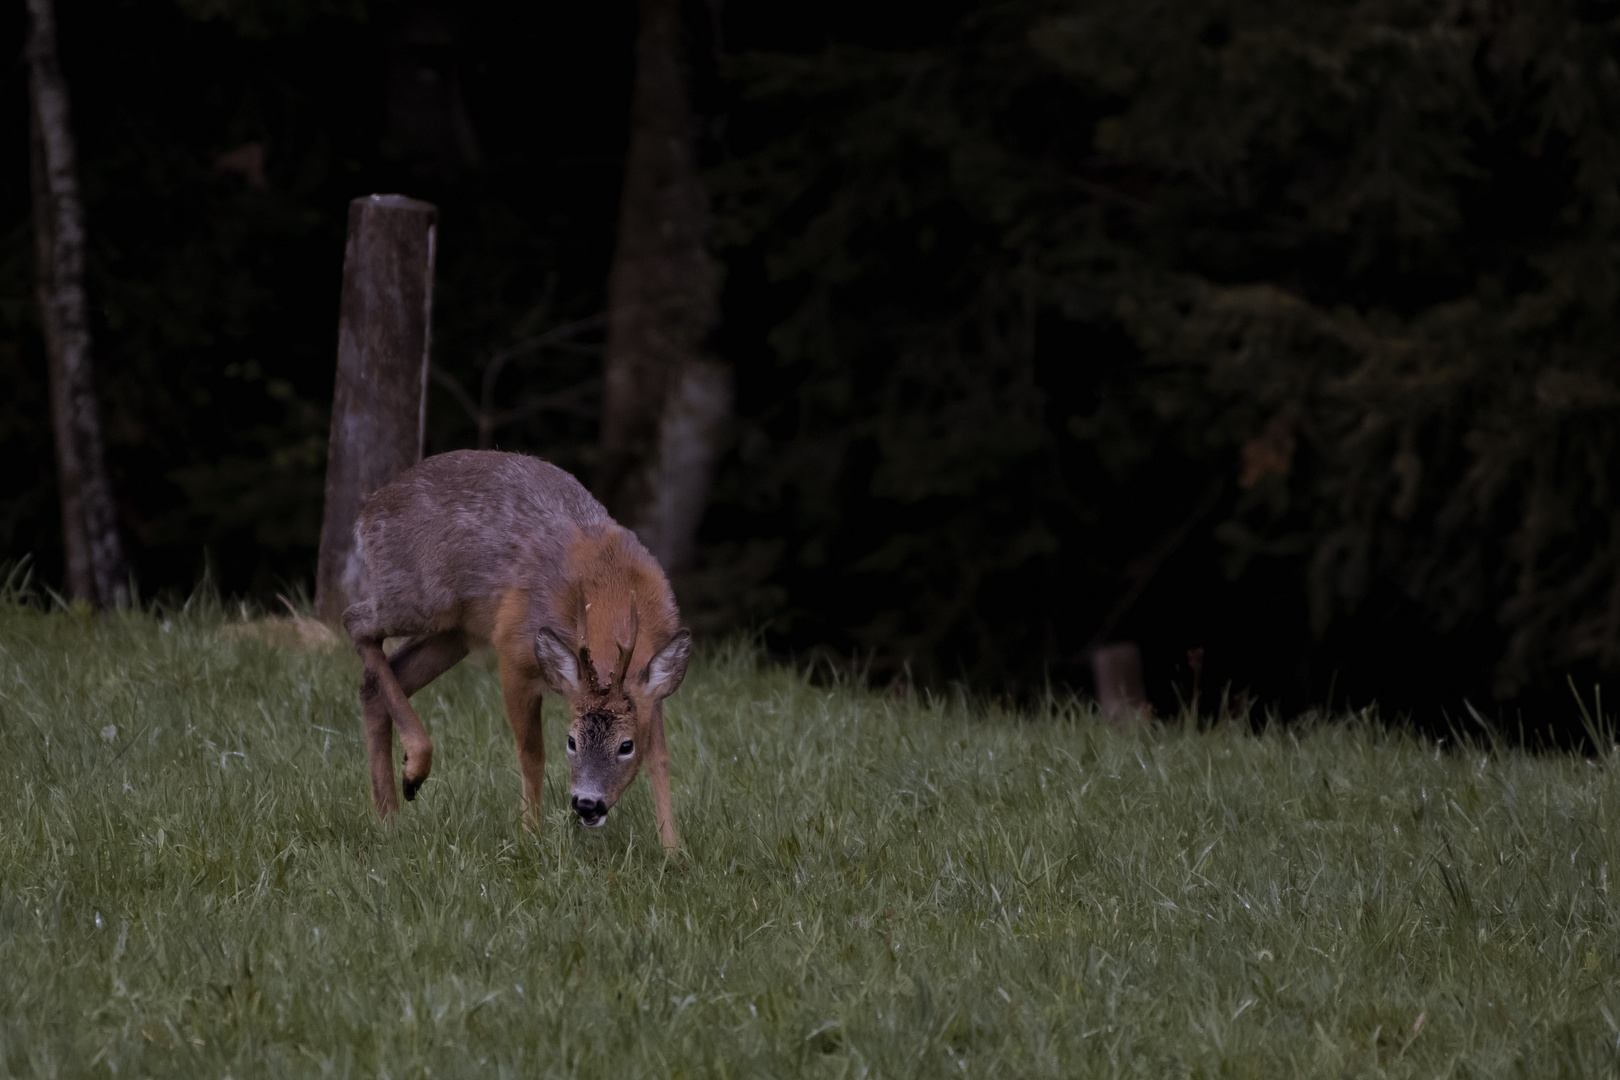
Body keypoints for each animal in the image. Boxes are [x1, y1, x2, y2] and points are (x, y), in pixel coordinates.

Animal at [338, 446, 693, 841]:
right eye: (571, 741)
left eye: (626, 746)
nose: (587, 804)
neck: (611, 587)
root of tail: (367, 513)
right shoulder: (514, 649)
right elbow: (531, 753)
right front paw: (530, 837)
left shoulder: (652, 690)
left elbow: (660, 760)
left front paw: (672, 849)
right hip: (421, 598)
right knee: (355, 620)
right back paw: (413, 770)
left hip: (455, 632)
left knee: (376, 681)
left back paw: (390, 819)